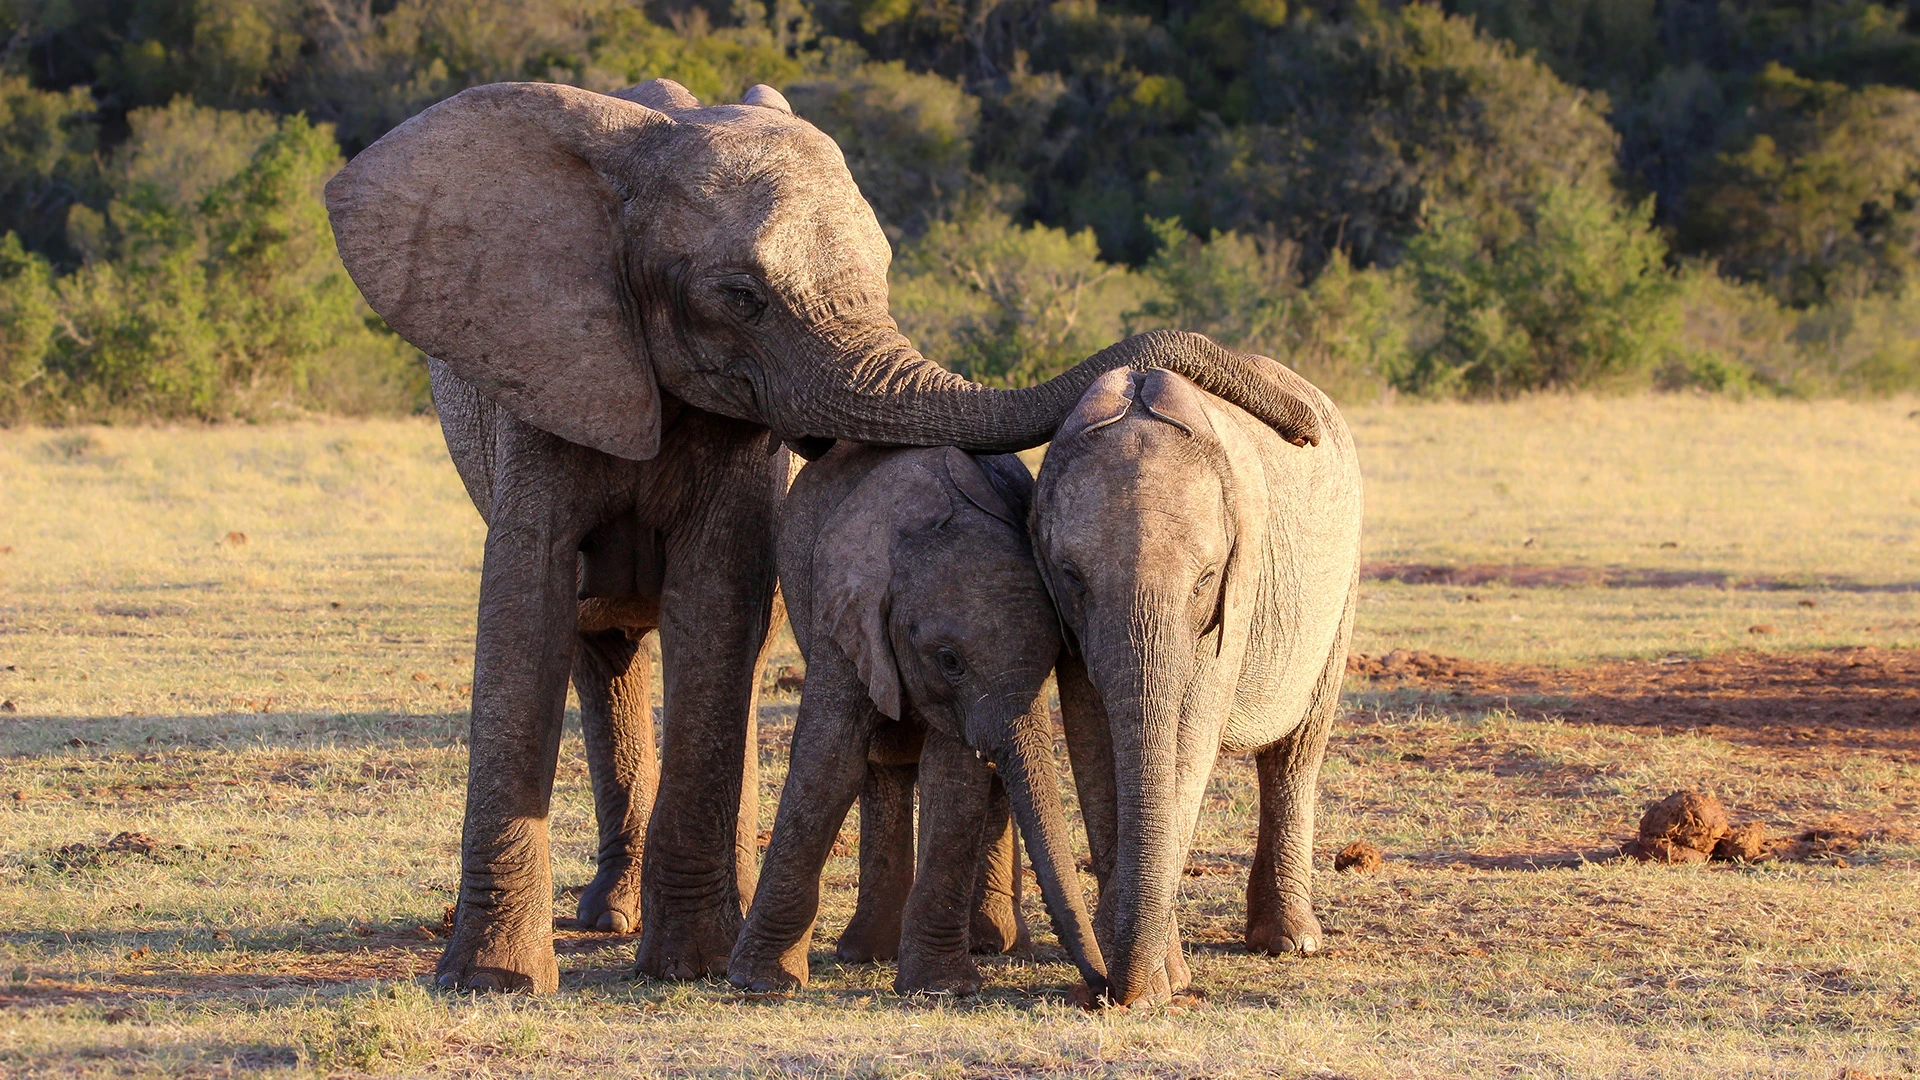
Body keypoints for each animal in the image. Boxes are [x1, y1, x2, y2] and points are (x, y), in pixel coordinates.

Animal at [728, 443, 1105, 998]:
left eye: (1057, 655)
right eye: (949, 661)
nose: (1102, 991)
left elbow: (954, 778)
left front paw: (941, 987)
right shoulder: (847, 612)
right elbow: (829, 763)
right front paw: (759, 982)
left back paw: (989, 944)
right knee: (879, 764)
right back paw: (867, 952)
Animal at [1030, 359, 1364, 1007]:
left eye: (1206, 578)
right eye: (1072, 576)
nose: (1111, 990)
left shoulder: (1241, 584)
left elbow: (1191, 740)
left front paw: (1153, 980)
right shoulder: (1067, 620)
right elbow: (1090, 738)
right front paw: (1126, 962)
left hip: (1344, 586)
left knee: (1297, 752)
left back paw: (1292, 944)